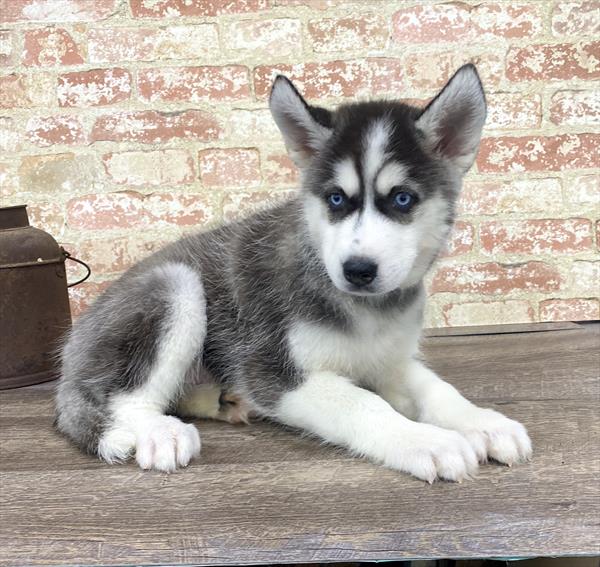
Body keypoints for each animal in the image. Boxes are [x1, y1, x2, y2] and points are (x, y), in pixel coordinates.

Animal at [58, 65, 532, 484]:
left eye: (402, 198)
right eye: (336, 198)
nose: (358, 270)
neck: (366, 311)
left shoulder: (389, 360)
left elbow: (438, 389)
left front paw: (484, 422)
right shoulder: (275, 375)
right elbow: (363, 404)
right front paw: (427, 441)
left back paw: (224, 401)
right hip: (175, 287)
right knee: (125, 399)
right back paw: (159, 432)